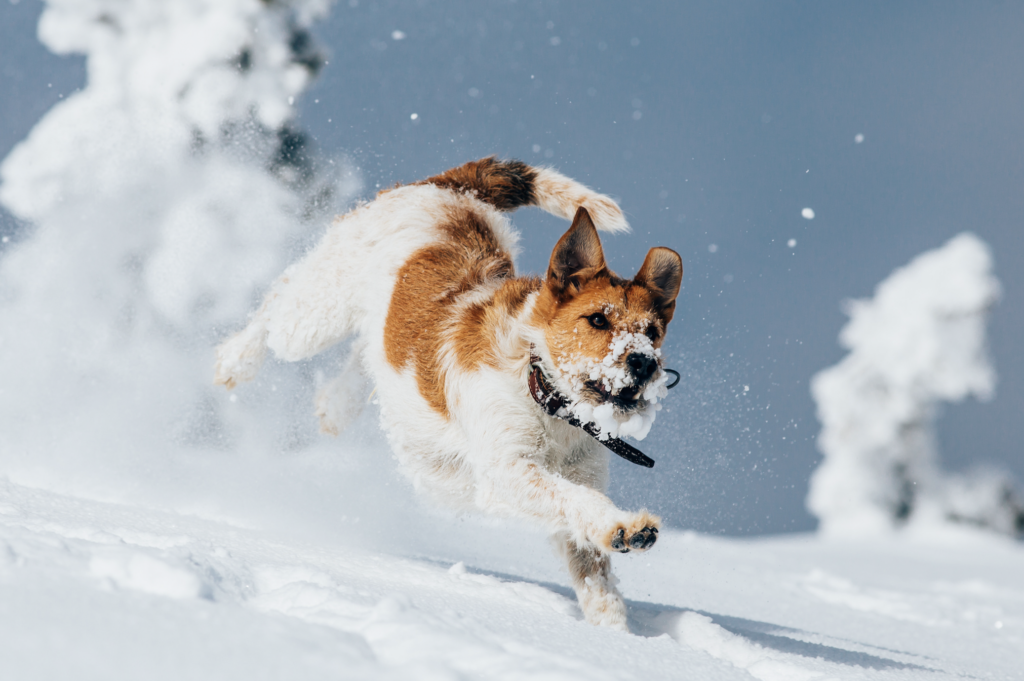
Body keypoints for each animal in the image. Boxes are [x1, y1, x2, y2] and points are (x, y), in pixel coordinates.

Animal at [214, 156, 679, 630]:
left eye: (652, 332)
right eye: (598, 320)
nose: (644, 363)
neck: (543, 393)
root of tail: (453, 186)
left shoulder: (577, 478)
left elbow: (593, 570)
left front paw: (615, 631)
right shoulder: (506, 471)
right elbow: (576, 499)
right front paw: (624, 525)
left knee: (369, 350)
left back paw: (337, 405)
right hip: (317, 315)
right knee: (278, 300)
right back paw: (234, 360)